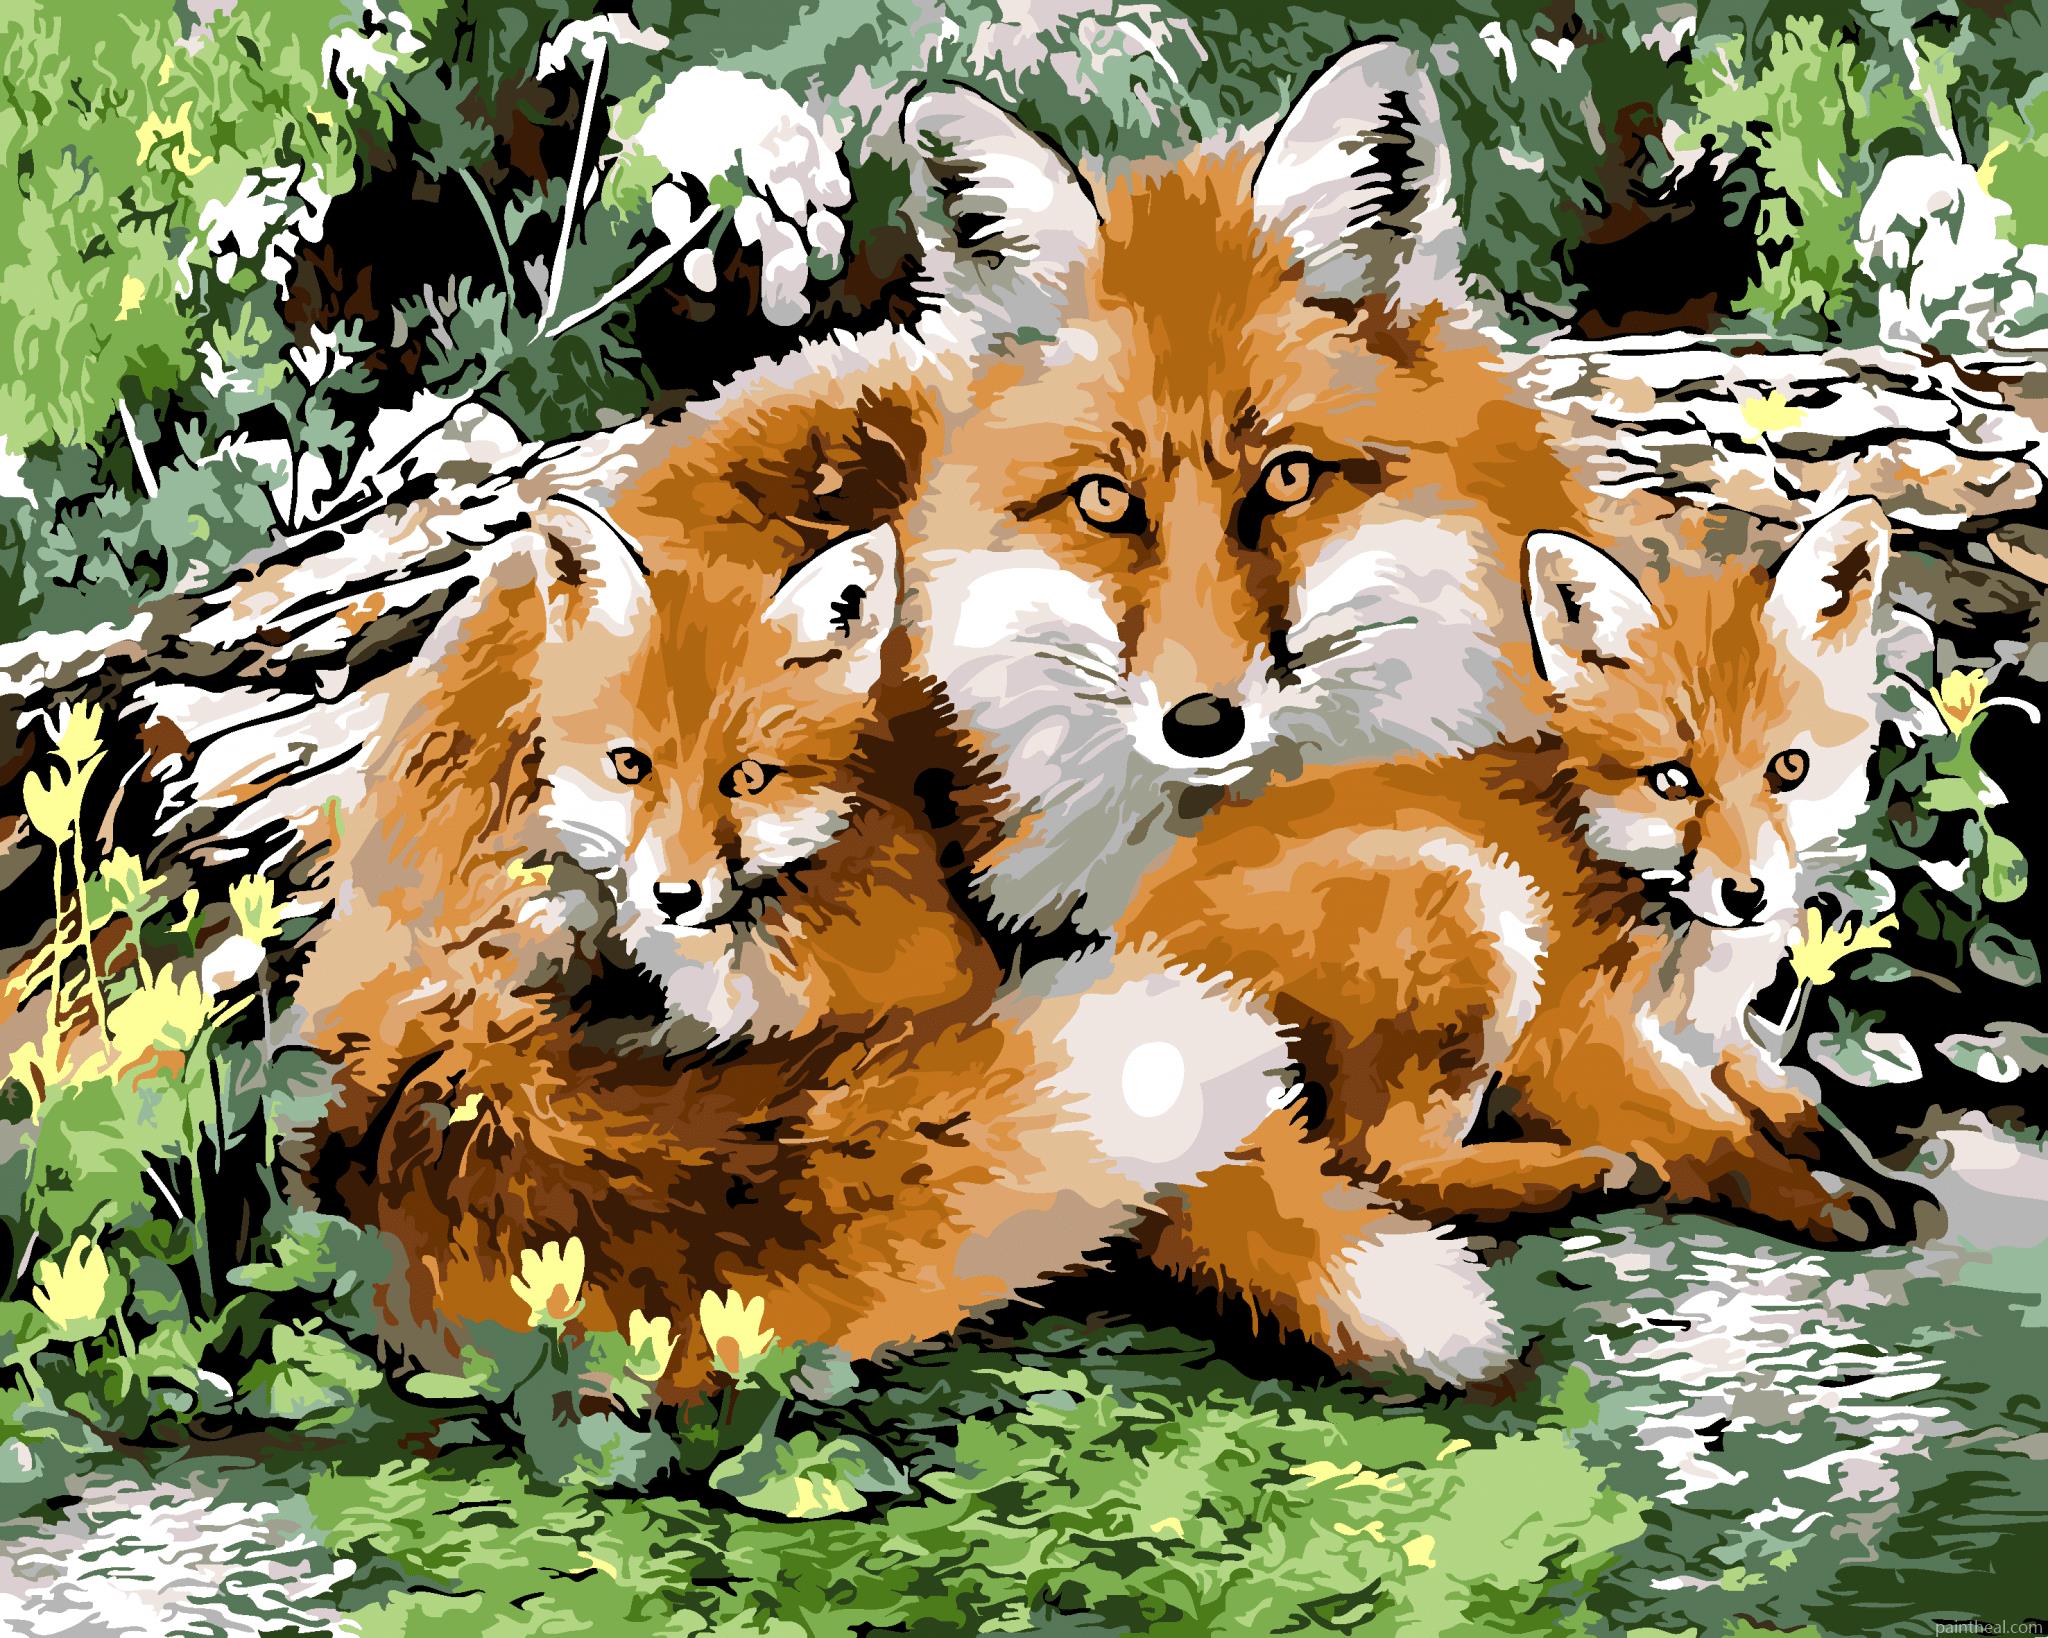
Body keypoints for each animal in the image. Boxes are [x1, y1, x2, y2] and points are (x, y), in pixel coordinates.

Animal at [1108, 499, 1940, 1369]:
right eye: (1673, 780)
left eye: (1789, 768)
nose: (1746, 895)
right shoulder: (1572, 1045)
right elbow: (1726, 1137)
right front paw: (1819, 1199)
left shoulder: (1707, 1034)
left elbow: (1787, 1099)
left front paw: (1855, 1157)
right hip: (1477, 916)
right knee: (1378, 1163)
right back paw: (1579, 1173)